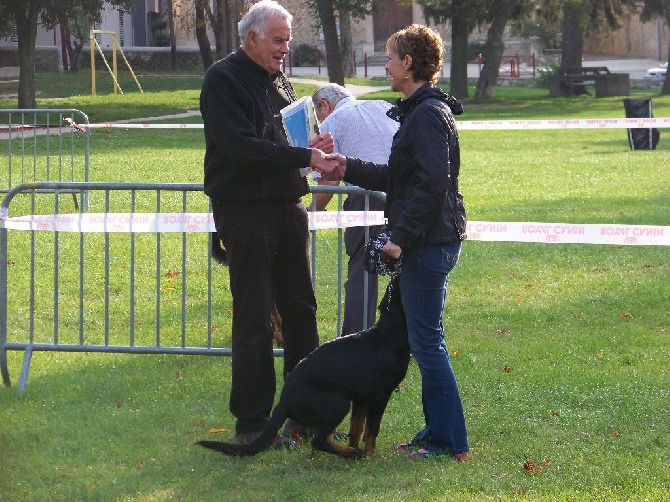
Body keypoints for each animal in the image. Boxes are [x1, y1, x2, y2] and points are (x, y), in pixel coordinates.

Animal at [197, 276, 412, 460]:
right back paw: (352, 454)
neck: (388, 336)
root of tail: (283, 402)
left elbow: (356, 428)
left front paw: (357, 447)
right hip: (339, 399)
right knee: (319, 440)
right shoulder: (379, 394)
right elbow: (371, 429)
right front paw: (369, 455)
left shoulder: (360, 398)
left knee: (311, 433)